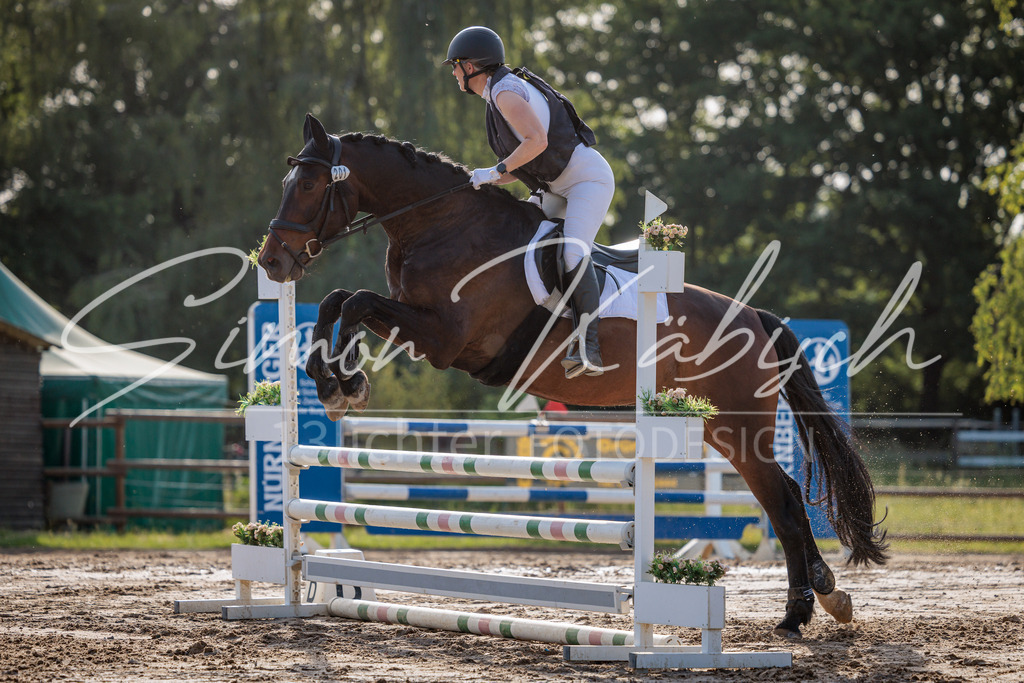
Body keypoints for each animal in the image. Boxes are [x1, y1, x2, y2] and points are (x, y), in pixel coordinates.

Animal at [258, 113, 888, 639]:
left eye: (309, 186)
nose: (271, 262)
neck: (441, 223)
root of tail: (755, 316)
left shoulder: (443, 339)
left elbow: (357, 300)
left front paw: (342, 383)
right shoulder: (418, 322)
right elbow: (339, 299)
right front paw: (330, 379)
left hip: (740, 424)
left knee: (784, 503)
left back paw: (798, 615)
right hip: (719, 428)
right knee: (782, 499)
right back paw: (826, 599)